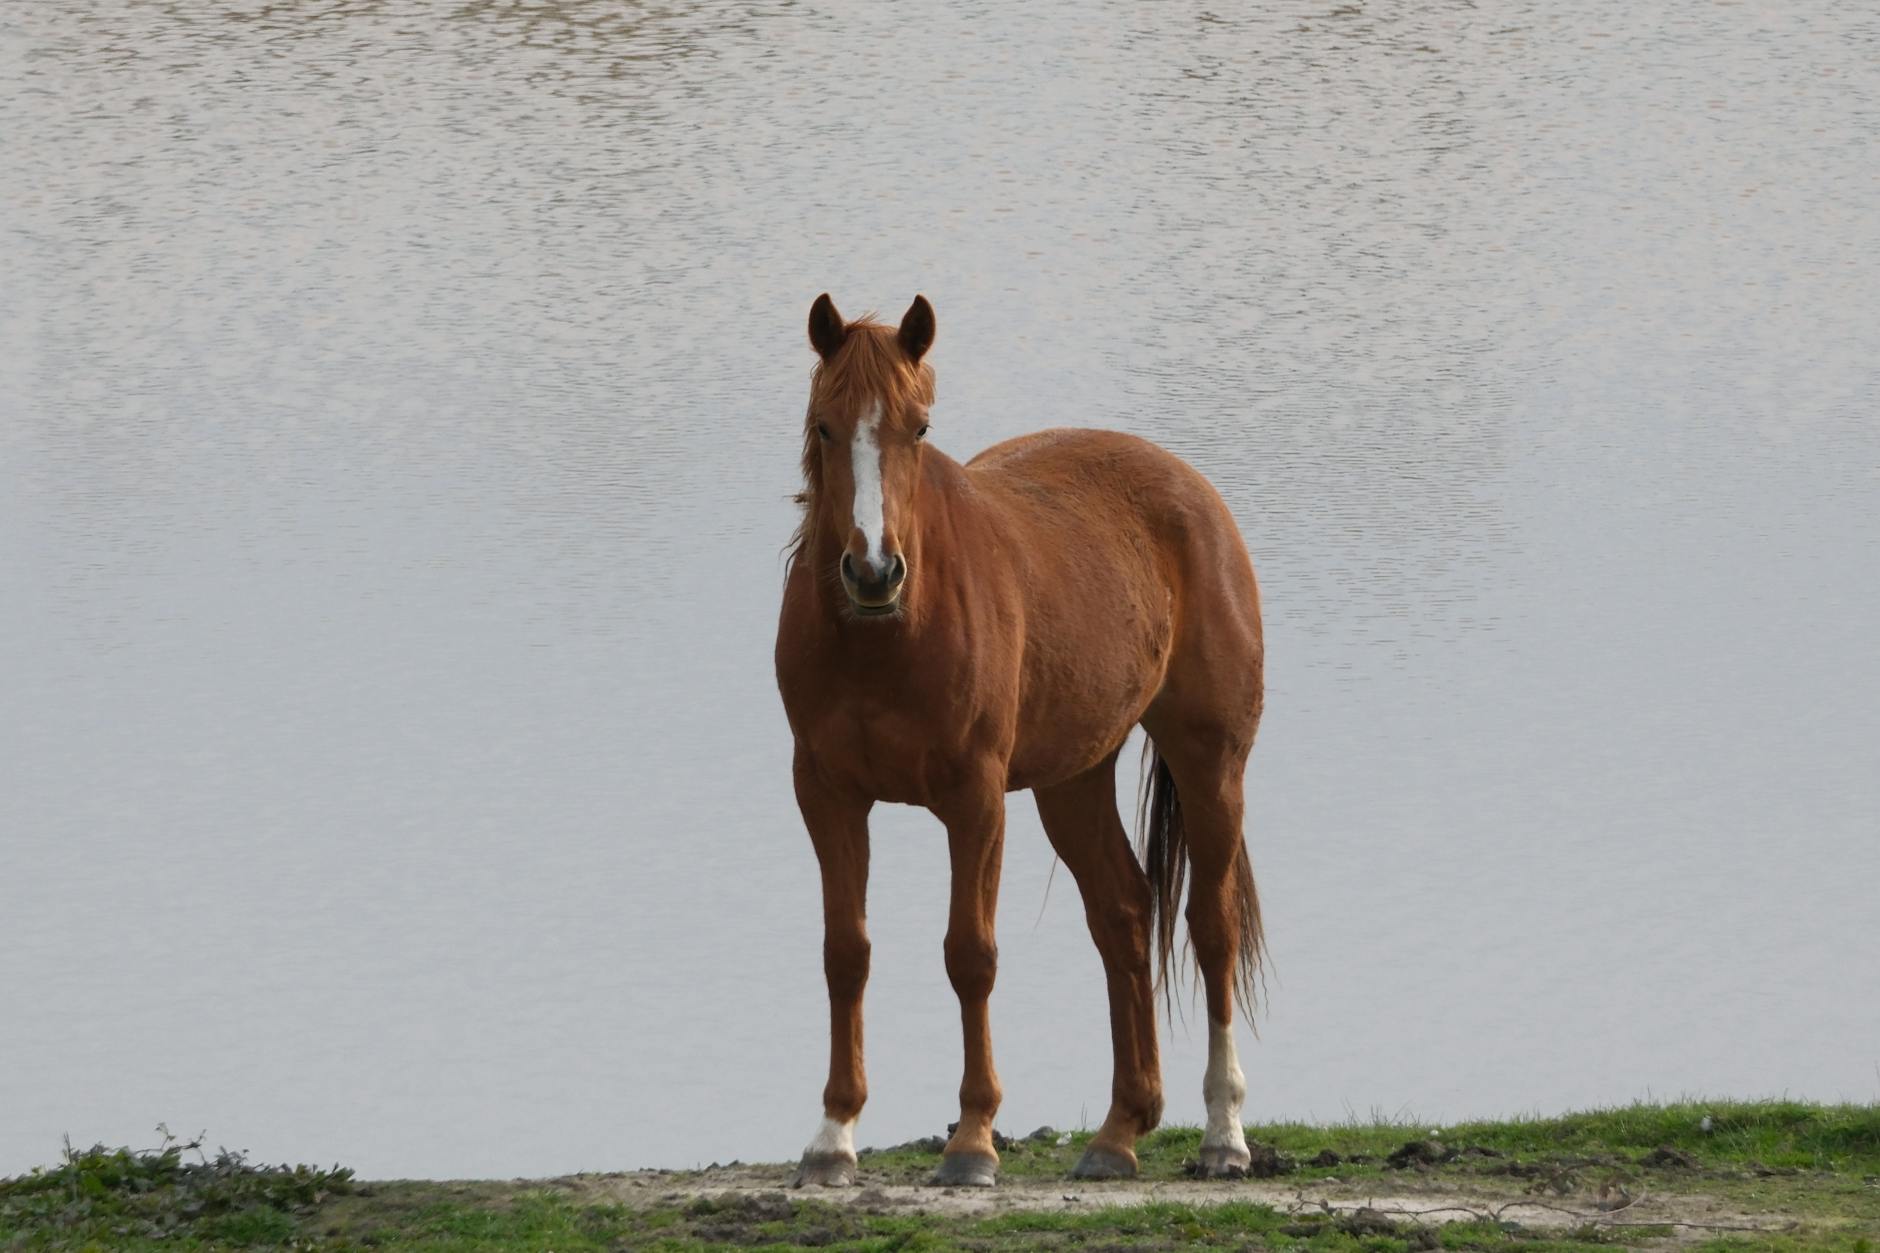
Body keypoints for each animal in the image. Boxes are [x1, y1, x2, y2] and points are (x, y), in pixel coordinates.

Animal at [774, 293, 1266, 1188]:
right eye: (826, 427)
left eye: (919, 428)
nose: (874, 572)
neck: (887, 638)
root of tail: (1194, 492)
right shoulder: (827, 793)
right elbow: (845, 952)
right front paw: (833, 1136)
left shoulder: (974, 798)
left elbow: (970, 954)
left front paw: (972, 1141)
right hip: (1073, 782)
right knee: (1123, 911)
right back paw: (1118, 1131)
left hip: (1211, 762)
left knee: (1211, 929)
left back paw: (1224, 1135)